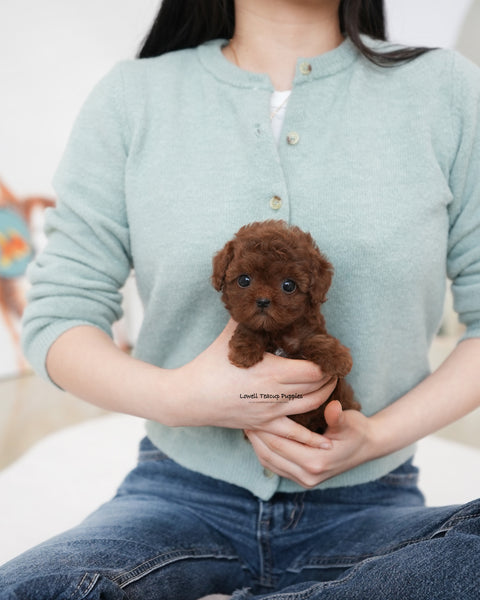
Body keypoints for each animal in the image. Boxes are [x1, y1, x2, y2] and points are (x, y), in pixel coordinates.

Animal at [211, 219, 360, 432]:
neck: (278, 331)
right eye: (244, 280)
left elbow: (313, 340)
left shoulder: (308, 333)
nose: (263, 301)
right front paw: (244, 350)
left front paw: (338, 358)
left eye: (288, 285)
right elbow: (250, 327)